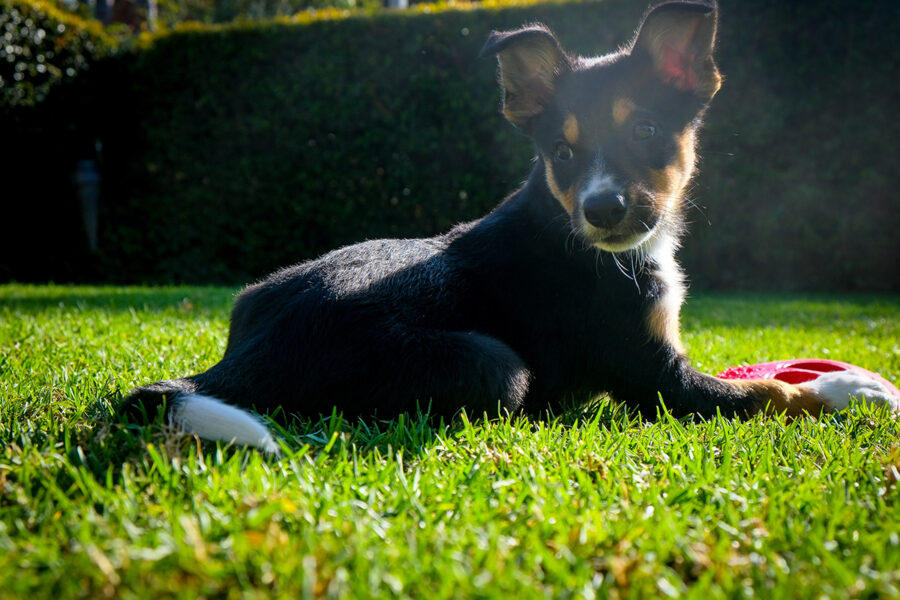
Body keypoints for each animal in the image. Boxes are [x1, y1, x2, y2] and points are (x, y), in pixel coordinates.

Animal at [121, 0, 900, 450]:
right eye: (562, 152)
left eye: (647, 131)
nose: (602, 209)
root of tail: (232, 367)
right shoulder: (661, 379)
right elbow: (773, 393)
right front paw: (854, 391)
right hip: (495, 366)